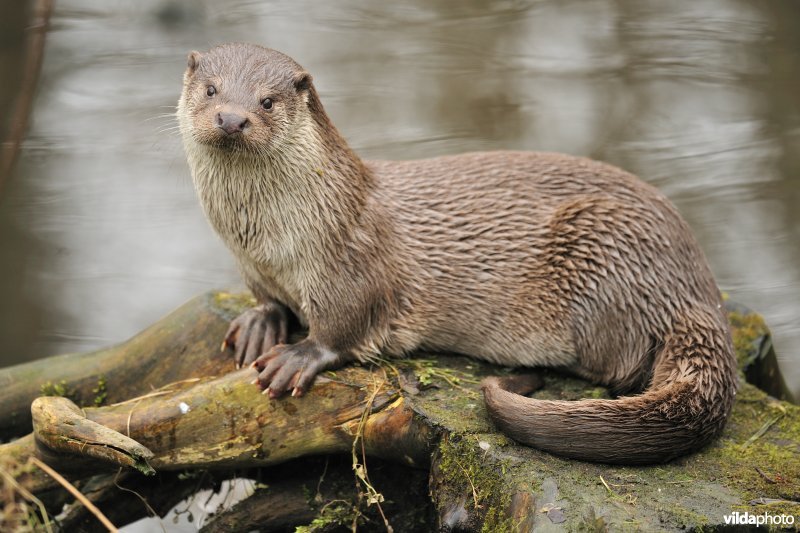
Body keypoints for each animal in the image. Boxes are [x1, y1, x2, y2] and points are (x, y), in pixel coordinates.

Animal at [178, 43, 737, 465]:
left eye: (268, 101)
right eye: (211, 89)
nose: (232, 118)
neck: (269, 239)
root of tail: (696, 291)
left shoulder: (351, 261)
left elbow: (344, 326)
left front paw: (298, 356)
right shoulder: (255, 267)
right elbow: (268, 299)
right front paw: (261, 322)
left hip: (606, 245)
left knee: (620, 370)